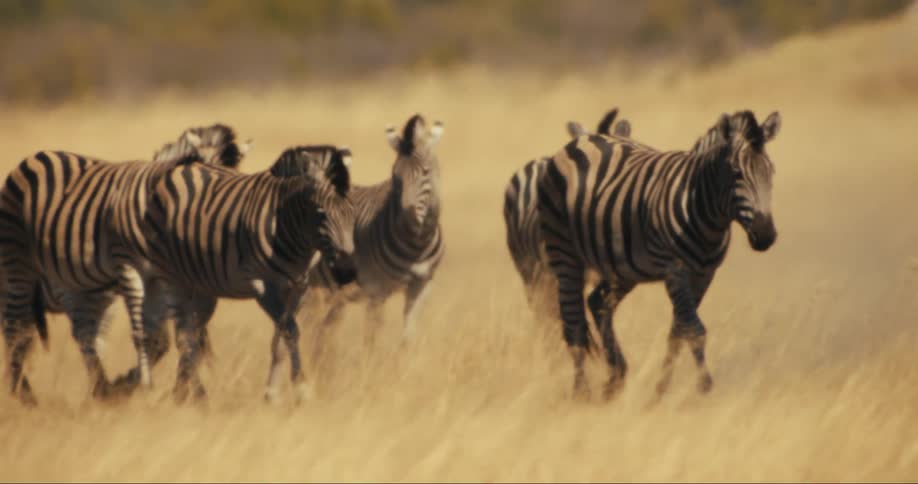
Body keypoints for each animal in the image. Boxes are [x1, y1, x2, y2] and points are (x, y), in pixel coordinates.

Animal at [0, 124, 249, 405]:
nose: (206, 238)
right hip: (20, 271)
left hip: (82, 289)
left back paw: (99, 389)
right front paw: (167, 389)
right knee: (17, 331)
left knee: (81, 336)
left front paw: (183, 391)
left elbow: (178, 336)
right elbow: (163, 337)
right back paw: (26, 396)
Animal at [141, 144, 357, 403]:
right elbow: (290, 330)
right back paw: (194, 395)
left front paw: (272, 394)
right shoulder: (263, 287)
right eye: (321, 212)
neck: (288, 227)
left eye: (352, 211)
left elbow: (280, 340)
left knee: (189, 334)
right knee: (183, 336)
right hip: (172, 276)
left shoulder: (298, 287)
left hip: (202, 286)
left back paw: (186, 393)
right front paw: (302, 388)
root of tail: (180, 167)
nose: (347, 272)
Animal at [306, 114, 444, 361]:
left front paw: (410, 362)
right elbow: (371, 339)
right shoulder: (376, 290)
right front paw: (372, 367)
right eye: (395, 177)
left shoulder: (421, 285)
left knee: (322, 336)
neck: (417, 246)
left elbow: (408, 336)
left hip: (331, 296)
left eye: (426, 172)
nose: (407, 220)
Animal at [537, 110, 781, 400]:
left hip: (621, 265)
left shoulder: (704, 274)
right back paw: (581, 393)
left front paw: (661, 390)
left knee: (598, 302)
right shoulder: (675, 270)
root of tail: (584, 138)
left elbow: (679, 331)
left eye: (771, 171)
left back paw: (615, 378)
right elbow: (694, 330)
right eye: (736, 174)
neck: (701, 208)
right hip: (564, 252)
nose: (765, 235)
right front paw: (705, 388)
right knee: (574, 325)